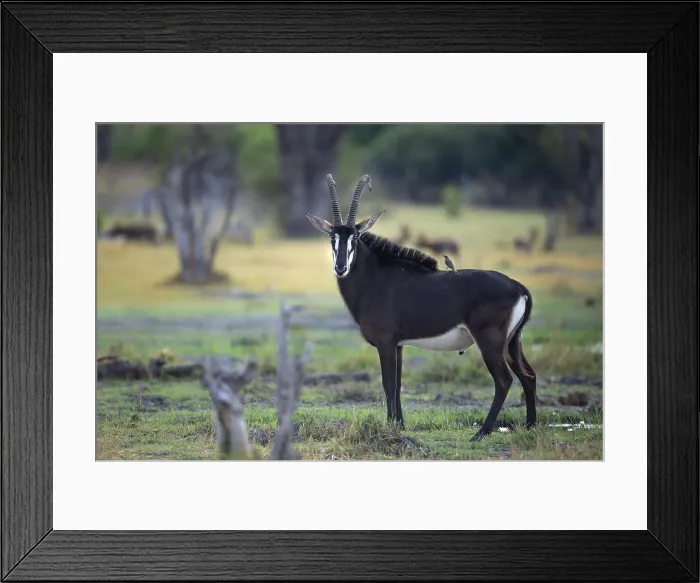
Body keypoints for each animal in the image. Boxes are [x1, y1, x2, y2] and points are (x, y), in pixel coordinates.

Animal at [305, 175, 537, 441]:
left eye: (354, 237)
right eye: (332, 238)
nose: (341, 267)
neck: (375, 277)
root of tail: (519, 287)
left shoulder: (385, 343)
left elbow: (388, 384)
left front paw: (390, 427)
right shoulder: (398, 345)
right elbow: (397, 384)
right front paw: (398, 424)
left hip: (491, 341)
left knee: (504, 380)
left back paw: (482, 432)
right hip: (512, 343)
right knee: (528, 376)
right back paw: (531, 426)